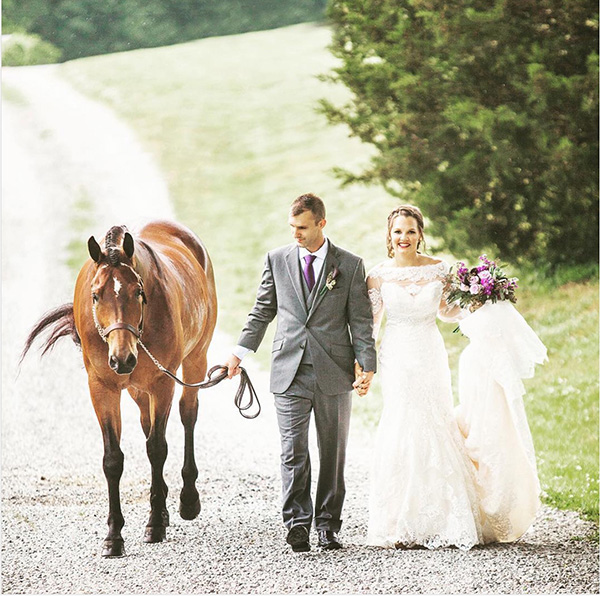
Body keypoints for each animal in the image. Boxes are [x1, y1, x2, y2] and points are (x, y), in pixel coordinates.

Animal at [22, 220, 218, 560]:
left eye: (138, 292)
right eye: (96, 295)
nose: (122, 358)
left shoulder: (162, 382)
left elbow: (157, 448)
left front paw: (154, 525)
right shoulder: (102, 387)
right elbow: (113, 459)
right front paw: (114, 536)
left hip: (195, 358)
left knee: (187, 415)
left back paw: (187, 500)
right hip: (138, 391)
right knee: (147, 423)